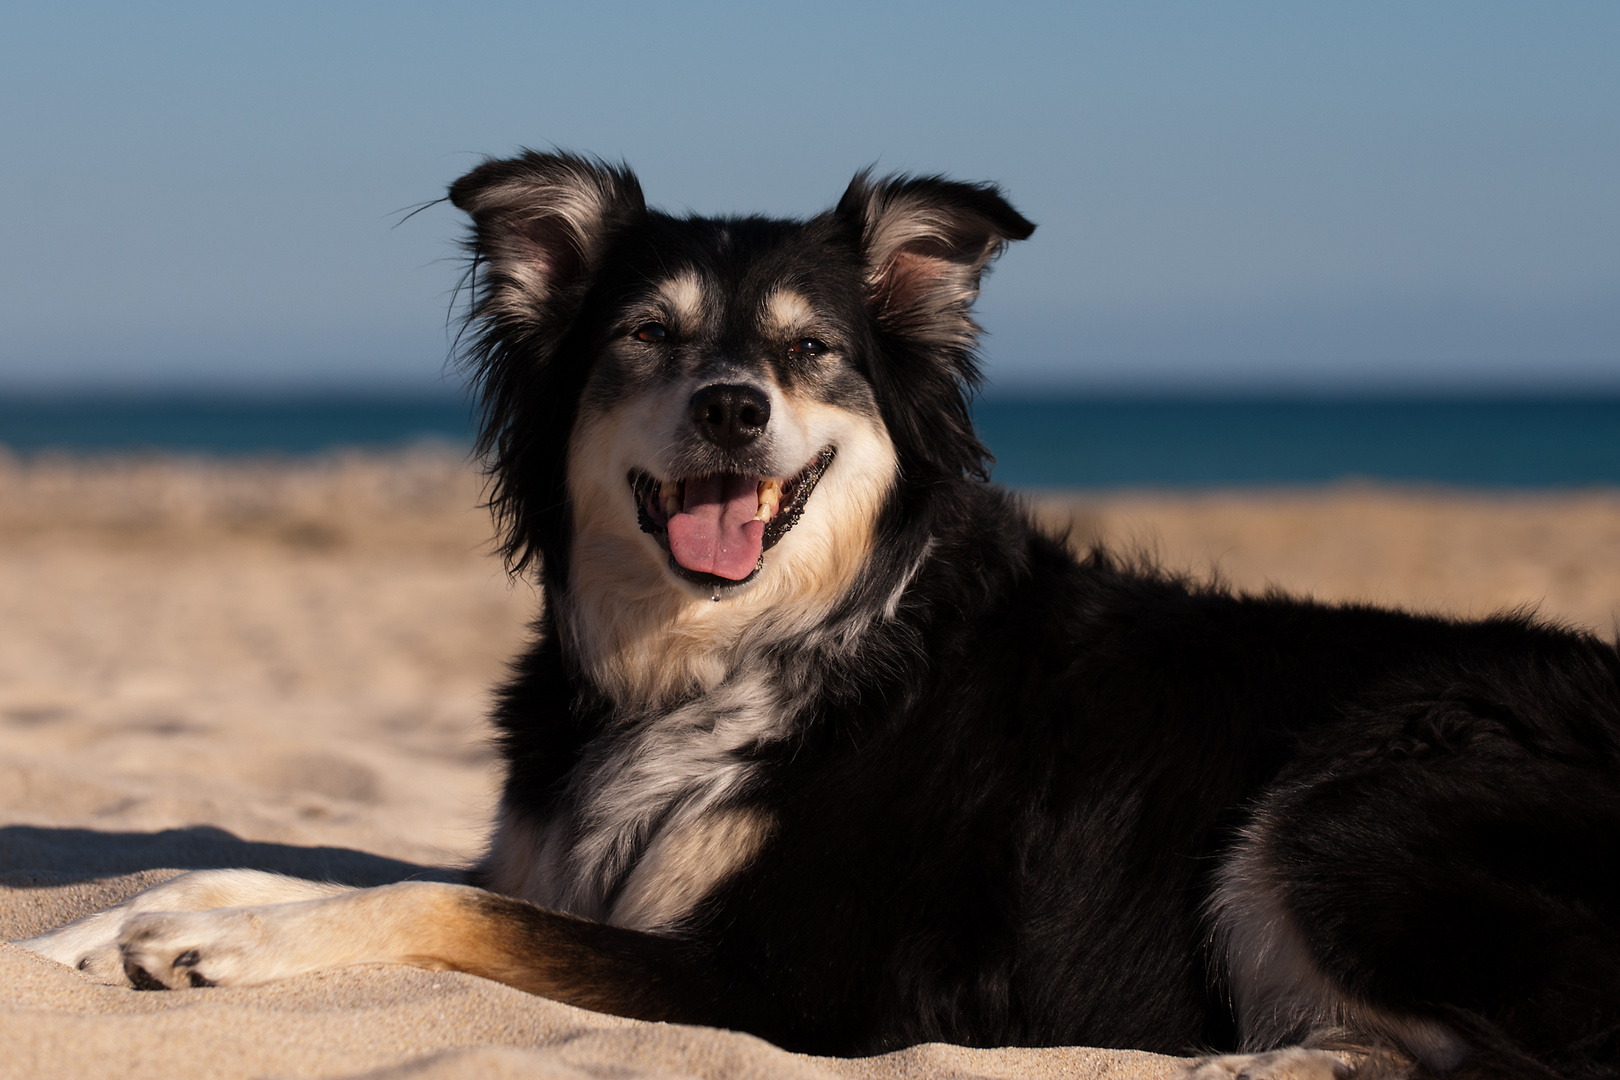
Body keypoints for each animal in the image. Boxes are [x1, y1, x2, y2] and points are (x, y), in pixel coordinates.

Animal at [19, 152, 1620, 1080]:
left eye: (809, 353)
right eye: (647, 336)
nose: (734, 405)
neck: (731, 654)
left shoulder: (798, 983)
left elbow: (440, 903)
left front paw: (218, 952)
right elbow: (273, 865)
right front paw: (92, 933)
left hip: (1353, 794)